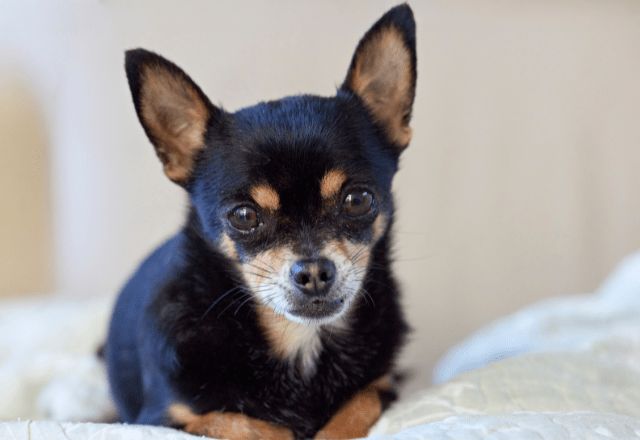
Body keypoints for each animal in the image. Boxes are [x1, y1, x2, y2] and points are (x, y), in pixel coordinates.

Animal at [105, 4, 416, 439]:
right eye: (244, 216)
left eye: (358, 200)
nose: (314, 272)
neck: (300, 342)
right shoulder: (164, 417)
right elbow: (247, 424)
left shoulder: (383, 387)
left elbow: (354, 410)